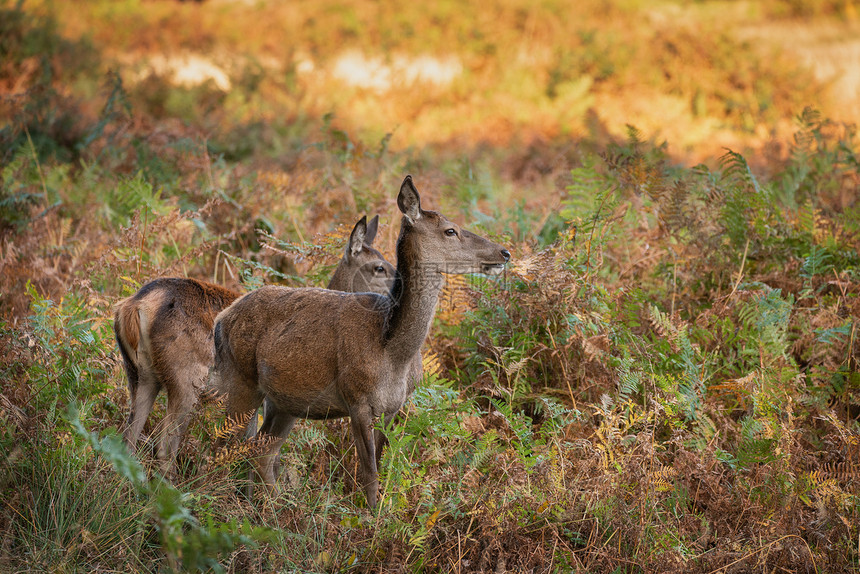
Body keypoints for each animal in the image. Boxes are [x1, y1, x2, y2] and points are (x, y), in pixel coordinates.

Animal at [113, 216, 394, 476]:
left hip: (139, 373)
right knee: (164, 446)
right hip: (187, 377)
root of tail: (134, 305)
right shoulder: (268, 395)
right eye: (379, 267)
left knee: (128, 438)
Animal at [213, 176, 510, 508]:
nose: (504, 252)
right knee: (223, 447)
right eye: (450, 230)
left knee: (261, 453)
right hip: (241, 381)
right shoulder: (356, 399)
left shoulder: (393, 407)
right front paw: (370, 518)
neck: (392, 351)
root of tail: (221, 319)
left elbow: (379, 466)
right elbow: (369, 475)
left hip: (284, 401)